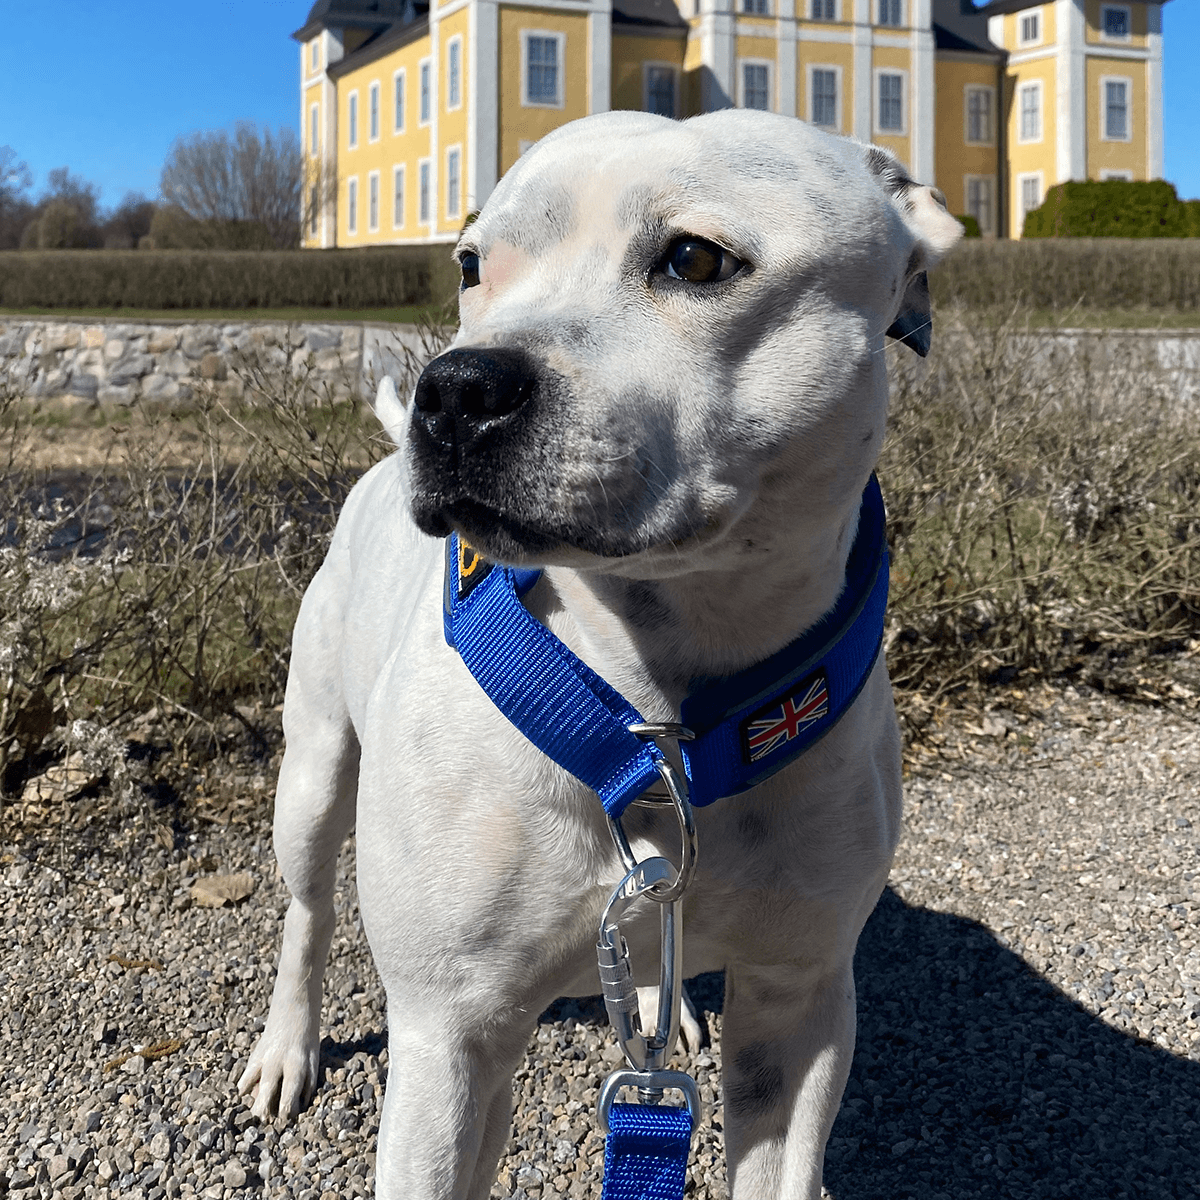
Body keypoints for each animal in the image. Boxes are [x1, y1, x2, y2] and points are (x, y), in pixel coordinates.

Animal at [238, 108, 960, 1195]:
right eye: (471, 264)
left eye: (696, 259)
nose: (455, 390)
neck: (652, 716)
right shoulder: (451, 1038)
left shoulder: (800, 1006)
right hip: (315, 769)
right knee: (307, 910)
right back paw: (288, 1043)